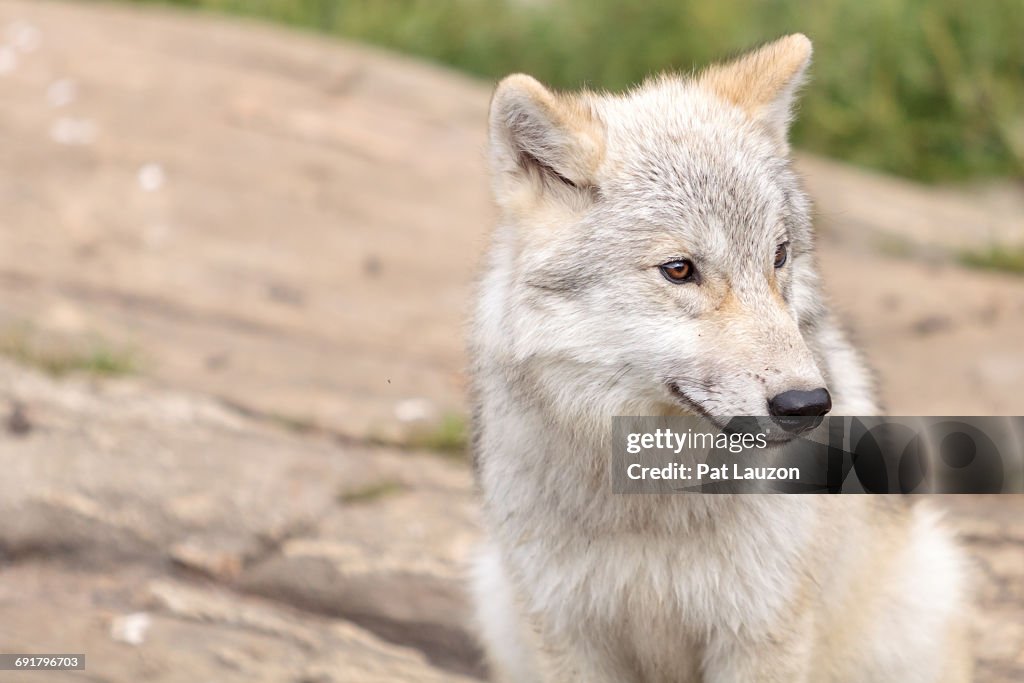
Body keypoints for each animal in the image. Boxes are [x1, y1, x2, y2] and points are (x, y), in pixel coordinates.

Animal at [469, 34, 971, 682]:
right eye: (680, 270)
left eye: (778, 256)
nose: (807, 404)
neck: (653, 500)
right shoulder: (569, 636)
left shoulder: (759, 634)